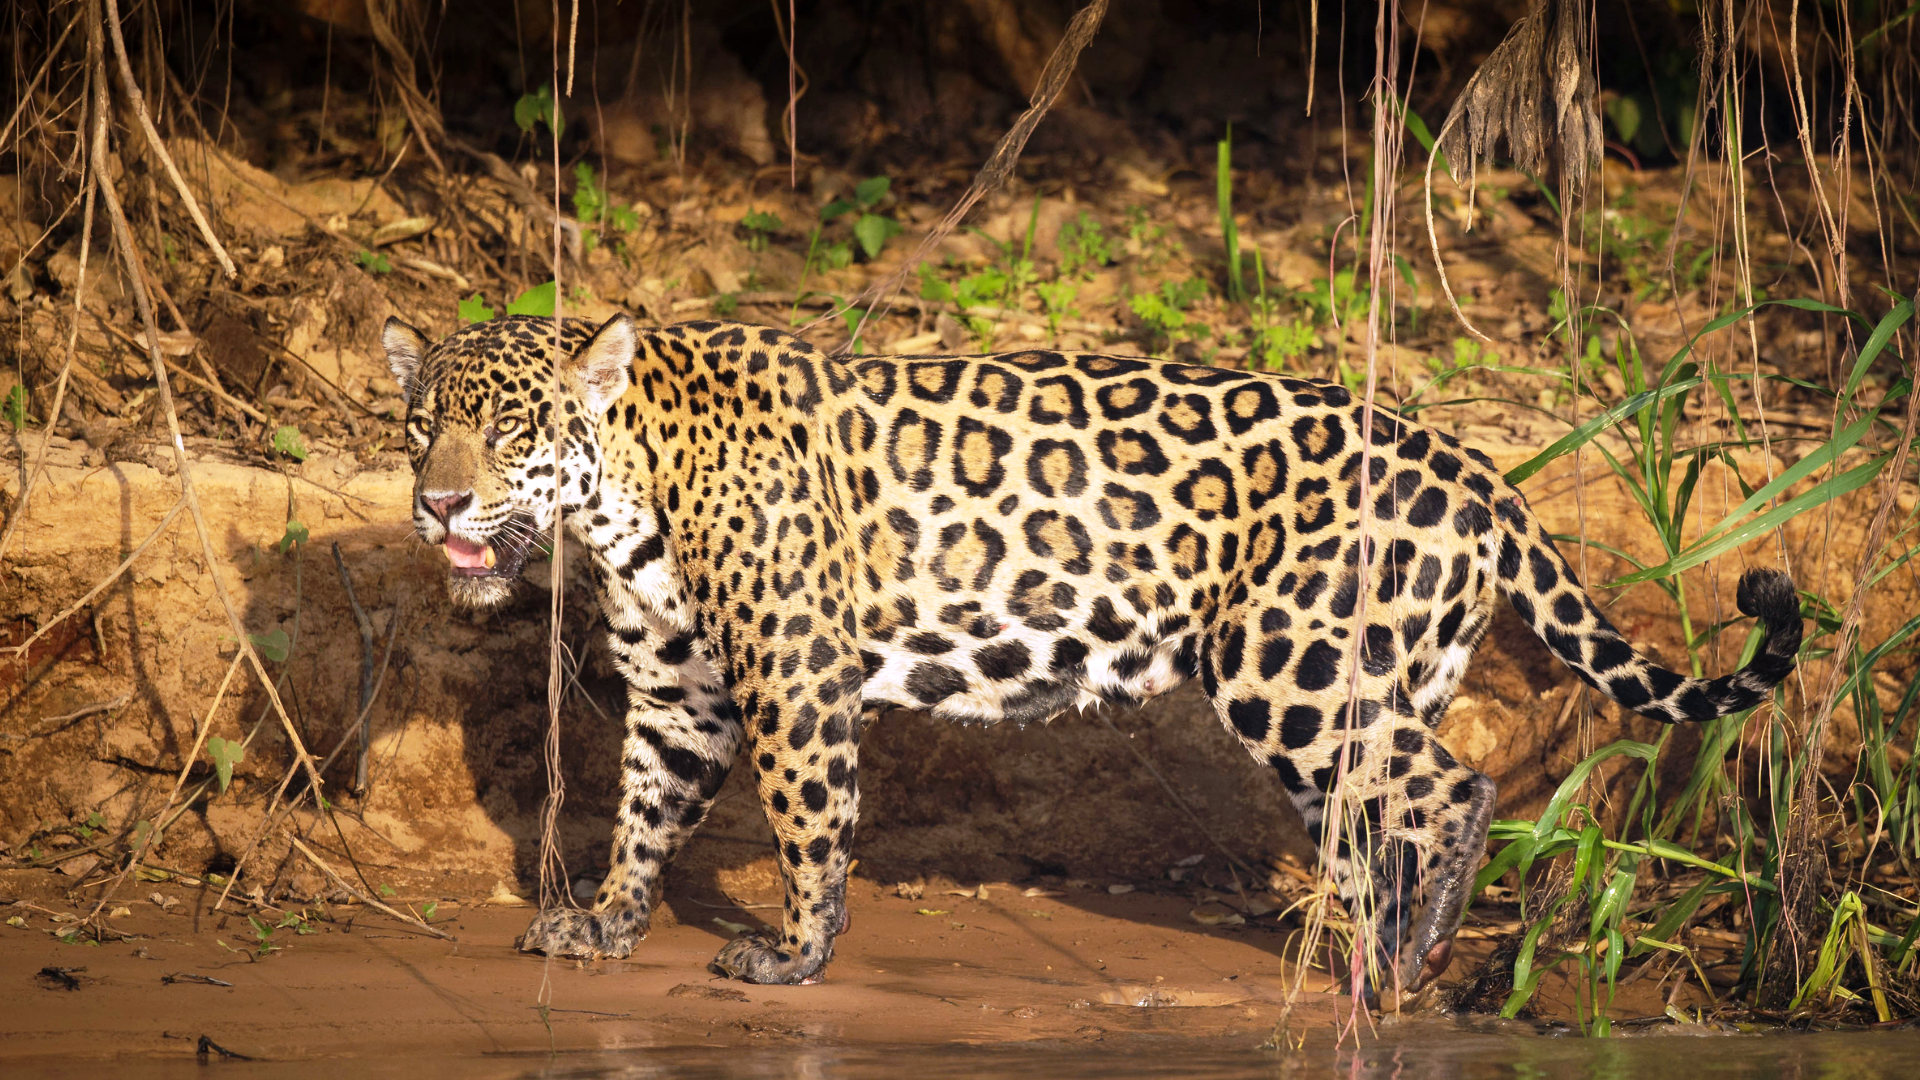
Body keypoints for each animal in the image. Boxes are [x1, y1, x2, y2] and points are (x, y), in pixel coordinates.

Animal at [381, 312, 1801, 1000]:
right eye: (419, 425)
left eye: (510, 432)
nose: (439, 506)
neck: (630, 486)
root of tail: (1477, 468)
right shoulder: (681, 685)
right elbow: (645, 806)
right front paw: (610, 924)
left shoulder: (792, 673)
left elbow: (806, 821)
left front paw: (795, 957)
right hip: (1386, 674)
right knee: (1377, 818)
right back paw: (1374, 955)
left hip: (1297, 666)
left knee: (1456, 790)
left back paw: (1407, 965)